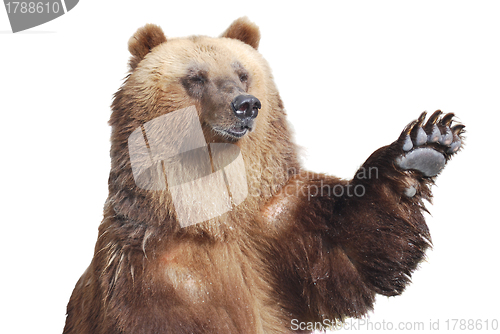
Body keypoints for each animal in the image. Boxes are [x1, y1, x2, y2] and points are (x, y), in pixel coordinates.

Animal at [62, 17, 464, 334]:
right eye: (195, 77)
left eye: (242, 73)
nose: (245, 105)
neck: (214, 214)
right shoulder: (153, 270)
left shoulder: (274, 229)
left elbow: (351, 249)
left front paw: (423, 145)